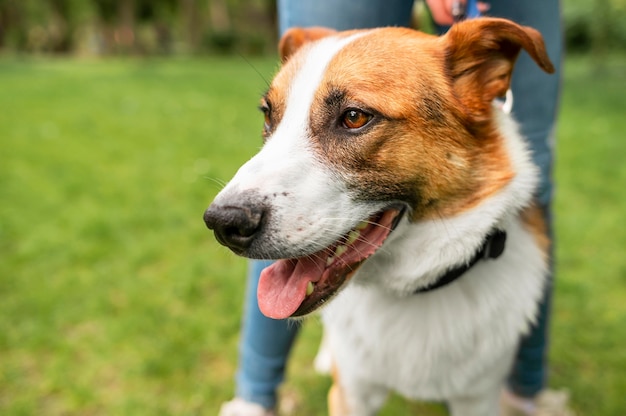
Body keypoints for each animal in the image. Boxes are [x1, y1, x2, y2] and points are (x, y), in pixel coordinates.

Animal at [204, 18, 552, 416]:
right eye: (268, 115)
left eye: (355, 117)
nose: (222, 223)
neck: (413, 290)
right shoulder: (350, 393)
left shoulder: (479, 398)